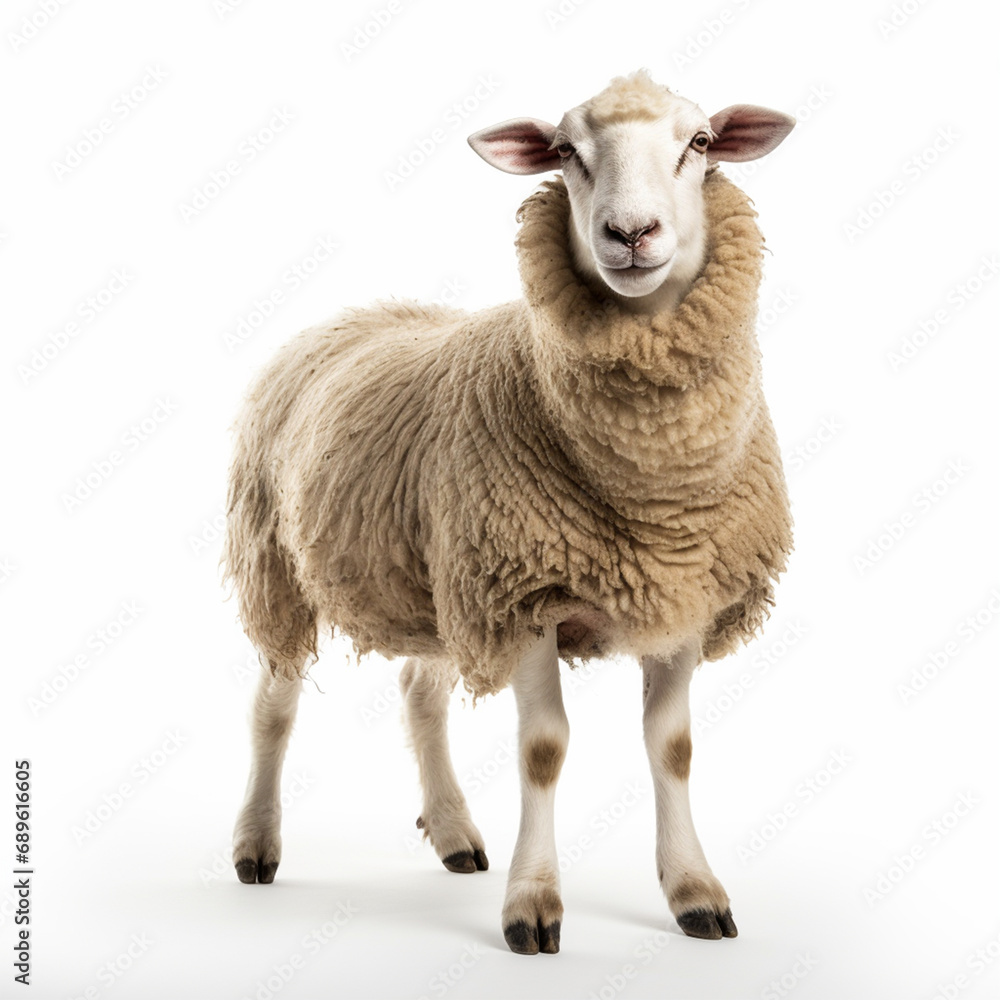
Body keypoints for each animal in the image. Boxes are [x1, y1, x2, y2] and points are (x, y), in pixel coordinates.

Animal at [225, 69, 795, 955]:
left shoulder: (681, 599)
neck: (652, 497)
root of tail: (356, 311)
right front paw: (533, 906)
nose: (631, 232)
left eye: (699, 143)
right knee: (273, 706)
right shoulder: (526, 595)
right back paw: (256, 844)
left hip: (437, 580)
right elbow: (543, 750)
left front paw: (694, 893)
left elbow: (672, 749)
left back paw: (455, 833)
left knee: (420, 695)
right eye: (565, 151)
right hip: (279, 567)